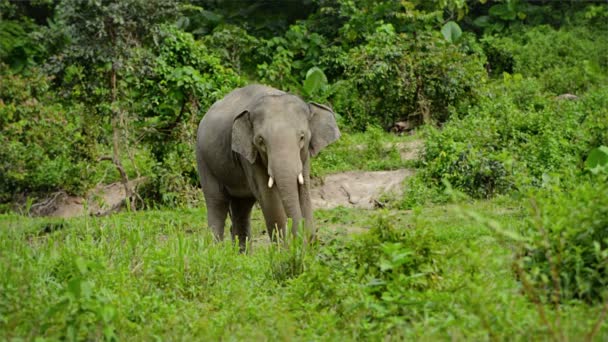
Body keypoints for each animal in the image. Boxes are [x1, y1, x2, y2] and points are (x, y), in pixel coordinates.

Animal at [195, 83, 340, 248]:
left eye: (302, 137)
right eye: (261, 141)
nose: (300, 241)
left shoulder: (304, 157)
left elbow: (304, 192)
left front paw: (308, 247)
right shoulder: (249, 157)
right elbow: (269, 198)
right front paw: (285, 249)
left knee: (241, 208)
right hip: (203, 160)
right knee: (216, 203)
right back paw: (215, 250)